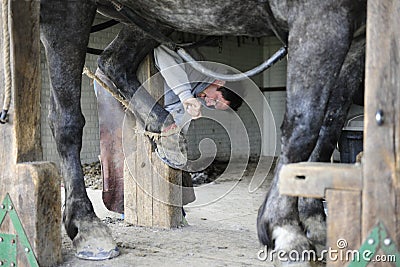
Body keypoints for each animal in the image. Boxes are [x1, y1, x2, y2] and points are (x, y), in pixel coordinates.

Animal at [39, 0, 366, 262]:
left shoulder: (355, 40)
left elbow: (328, 127)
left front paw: (316, 223)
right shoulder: (319, 19)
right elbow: (304, 126)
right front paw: (286, 229)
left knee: (112, 62)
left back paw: (167, 133)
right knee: (65, 118)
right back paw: (87, 226)